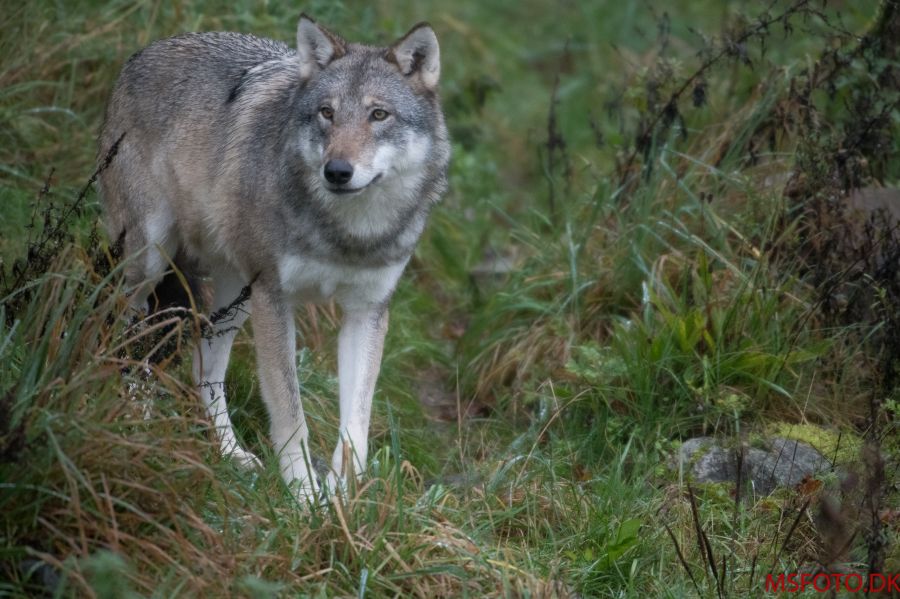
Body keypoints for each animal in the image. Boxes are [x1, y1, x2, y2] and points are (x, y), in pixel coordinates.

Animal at [98, 14, 450, 502]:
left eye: (379, 115)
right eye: (327, 113)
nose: (336, 171)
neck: (347, 233)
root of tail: (141, 53)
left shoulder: (368, 312)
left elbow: (356, 425)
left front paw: (345, 500)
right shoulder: (275, 298)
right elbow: (289, 411)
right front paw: (304, 496)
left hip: (237, 293)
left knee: (204, 368)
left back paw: (230, 453)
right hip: (151, 262)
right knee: (126, 332)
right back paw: (135, 413)